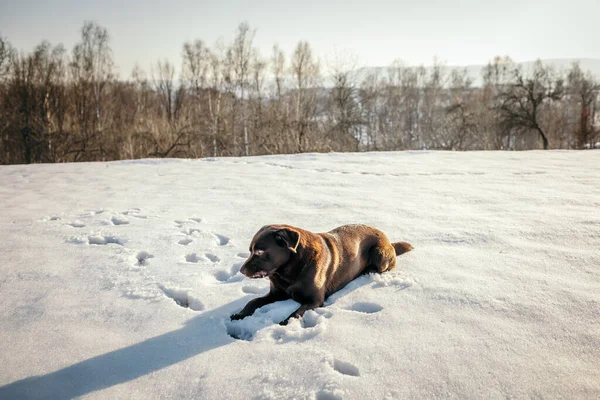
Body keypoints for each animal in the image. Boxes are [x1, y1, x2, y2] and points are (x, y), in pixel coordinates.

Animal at [230, 225, 412, 324]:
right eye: (250, 250)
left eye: (259, 251)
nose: (241, 270)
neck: (289, 271)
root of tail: (388, 240)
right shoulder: (276, 293)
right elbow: (253, 301)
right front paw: (240, 314)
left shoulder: (315, 300)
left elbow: (297, 312)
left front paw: (286, 322)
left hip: (380, 254)